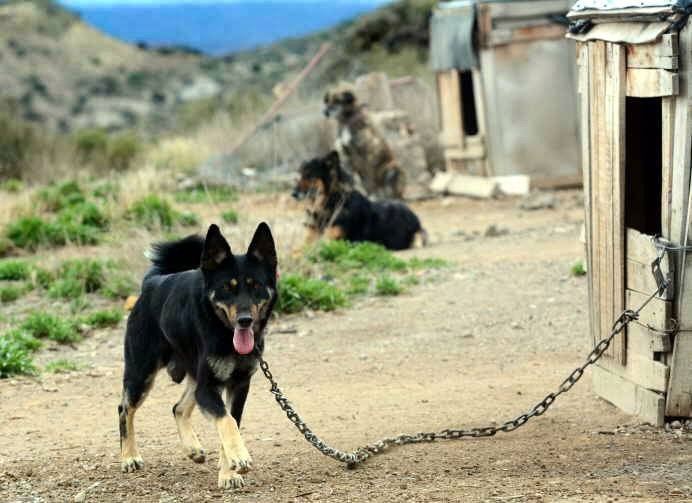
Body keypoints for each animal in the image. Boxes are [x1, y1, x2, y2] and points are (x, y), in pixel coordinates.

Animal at [119, 222, 278, 490]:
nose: (245, 320)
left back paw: (192, 448)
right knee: (124, 408)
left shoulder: (238, 386)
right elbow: (227, 421)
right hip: (141, 373)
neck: (223, 332)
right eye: (227, 288)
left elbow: (231, 421)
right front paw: (238, 458)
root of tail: (151, 283)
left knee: (178, 408)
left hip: (193, 376)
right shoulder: (208, 387)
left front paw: (228, 472)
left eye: (255, 285)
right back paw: (129, 456)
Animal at [290, 151, 424, 251]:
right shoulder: (312, 236)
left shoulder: (331, 241)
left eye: (310, 176)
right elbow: (298, 249)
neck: (333, 201)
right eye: (301, 176)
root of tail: (415, 216)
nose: (293, 194)